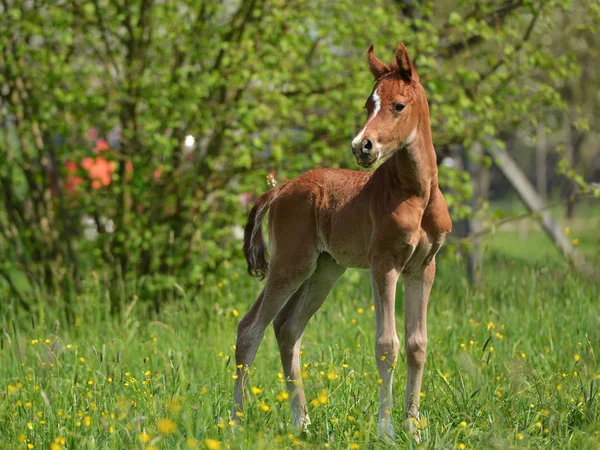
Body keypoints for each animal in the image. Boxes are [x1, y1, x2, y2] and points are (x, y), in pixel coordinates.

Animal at [232, 42, 452, 440]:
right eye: (368, 104)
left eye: (398, 105)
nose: (362, 146)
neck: (417, 193)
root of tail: (282, 188)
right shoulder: (384, 264)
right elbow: (386, 345)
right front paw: (386, 432)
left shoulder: (423, 267)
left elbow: (417, 345)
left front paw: (413, 430)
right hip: (291, 264)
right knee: (250, 328)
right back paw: (236, 422)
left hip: (324, 270)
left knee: (286, 327)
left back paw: (301, 423)